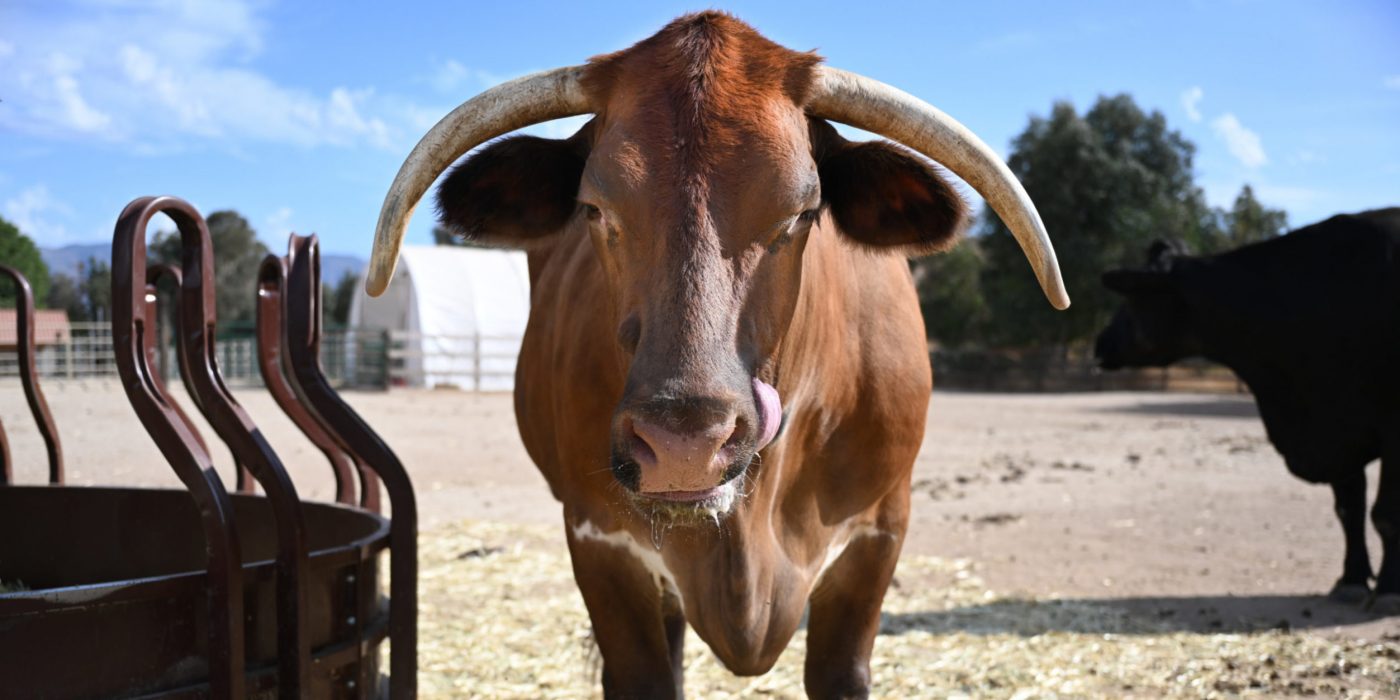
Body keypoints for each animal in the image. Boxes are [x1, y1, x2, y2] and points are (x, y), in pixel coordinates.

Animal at [1097, 205, 1394, 607]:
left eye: (1130, 300)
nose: (1099, 342)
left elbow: (1385, 514)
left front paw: (1389, 588)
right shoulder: (1336, 426)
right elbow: (1349, 509)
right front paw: (1351, 580)